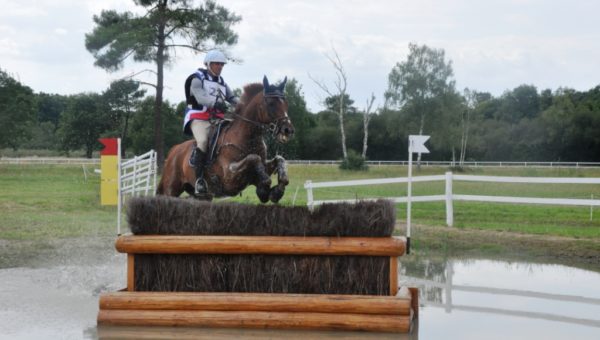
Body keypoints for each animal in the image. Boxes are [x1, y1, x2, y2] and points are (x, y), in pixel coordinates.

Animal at [156, 76, 294, 203]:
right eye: (271, 104)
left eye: (286, 104)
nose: (288, 130)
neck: (248, 138)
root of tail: (174, 150)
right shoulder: (229, 175)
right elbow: (254, 158)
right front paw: (264, 188)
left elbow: (280, 160)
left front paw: (276, 191)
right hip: (171, 189)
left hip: (202, 196)